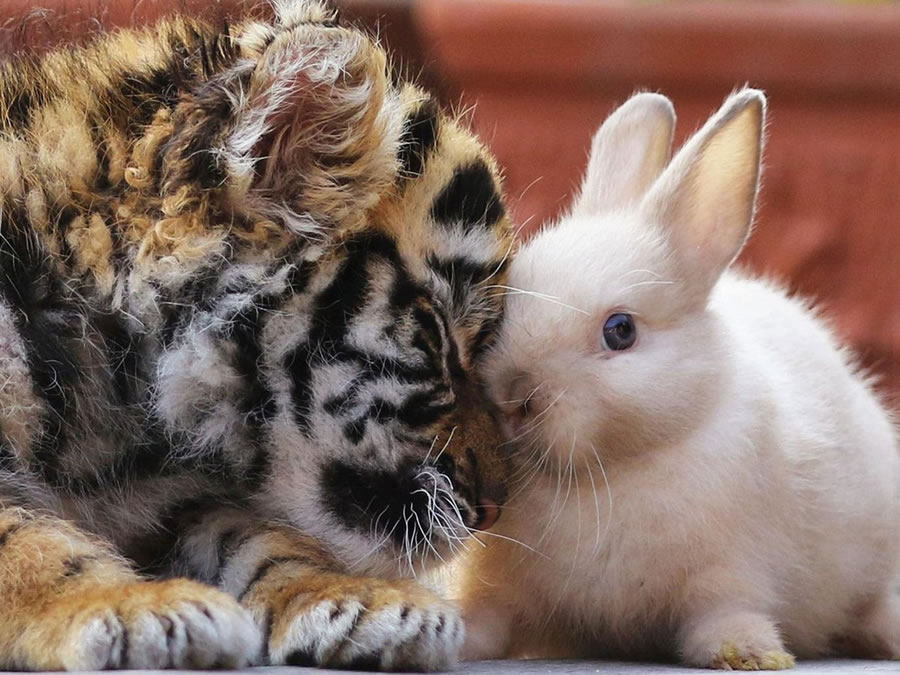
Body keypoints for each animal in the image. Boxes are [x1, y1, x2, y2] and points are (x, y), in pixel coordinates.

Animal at [458, 91, 900, 672]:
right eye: (503, 308)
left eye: (620, 331)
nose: (513, 397)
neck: (604, 475)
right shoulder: (498, 580)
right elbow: (485, 615)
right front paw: (450, 631)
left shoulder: (729, 567)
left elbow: (724, 610)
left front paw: (748, 651)